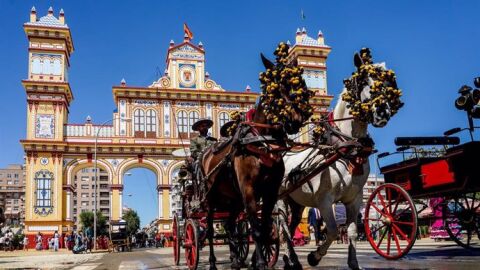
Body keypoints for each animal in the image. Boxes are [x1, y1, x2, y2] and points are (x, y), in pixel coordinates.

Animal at [200, 42, 316, 270]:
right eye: (276, 84)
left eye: (299, 83)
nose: (296, 119)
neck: (262, 142)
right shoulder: (249, 189)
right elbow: (254, 227)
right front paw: (261, 262)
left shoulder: (270, 191)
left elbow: (263, 228)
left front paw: (256, 259)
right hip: (211, 197)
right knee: (209, 228)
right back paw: (212, 262)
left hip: (233, 199)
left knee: (230, 224)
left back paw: (236, 259)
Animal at [276, 48, 404, 270]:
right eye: (363, 81)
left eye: (387, 84)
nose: (382, 112)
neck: (346, 148)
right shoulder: (324, 200)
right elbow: (334, 229)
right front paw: (314, 256)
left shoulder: (354, 199)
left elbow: (351, 231)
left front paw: (353, 263)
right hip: (281, 199)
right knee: (283, 227)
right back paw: (292, 258)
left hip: (297, 201)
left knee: (291, 228)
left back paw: (289, 259)